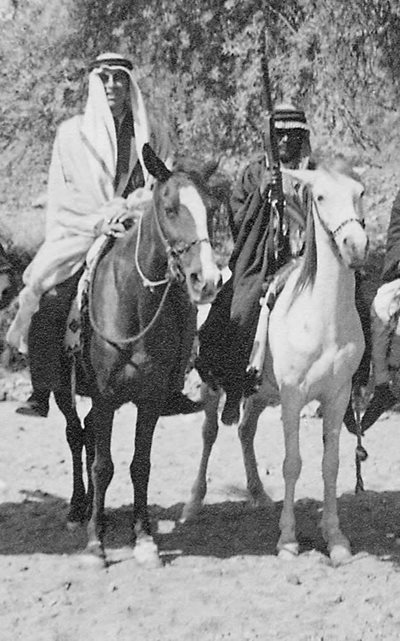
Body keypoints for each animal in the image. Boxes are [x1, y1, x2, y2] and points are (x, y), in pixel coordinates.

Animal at [52, 144, 225, 564]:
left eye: (212, 208)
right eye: (170, 208)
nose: (207, 280)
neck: (132, 305)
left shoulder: (149, 399)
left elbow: (140, 465)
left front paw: (143, 537)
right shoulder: (105, 398)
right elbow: (103, 466)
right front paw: (96, 544)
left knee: (84, 434)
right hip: (62, 390)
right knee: (74, 434)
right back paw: (78, 510)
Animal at [184, 164, 368, 564]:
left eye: (359, 193)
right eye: (320, 196)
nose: (356, 245)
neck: (323, 317)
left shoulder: (337, 397)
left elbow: (330, 466)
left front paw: (335, 538)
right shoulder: (294, 397)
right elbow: (292, 463)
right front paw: (287, 539)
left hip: (260, 394)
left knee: (245, 431)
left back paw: (256, 492)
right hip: (215, 386)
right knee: (209, 434)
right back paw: (193, 504)